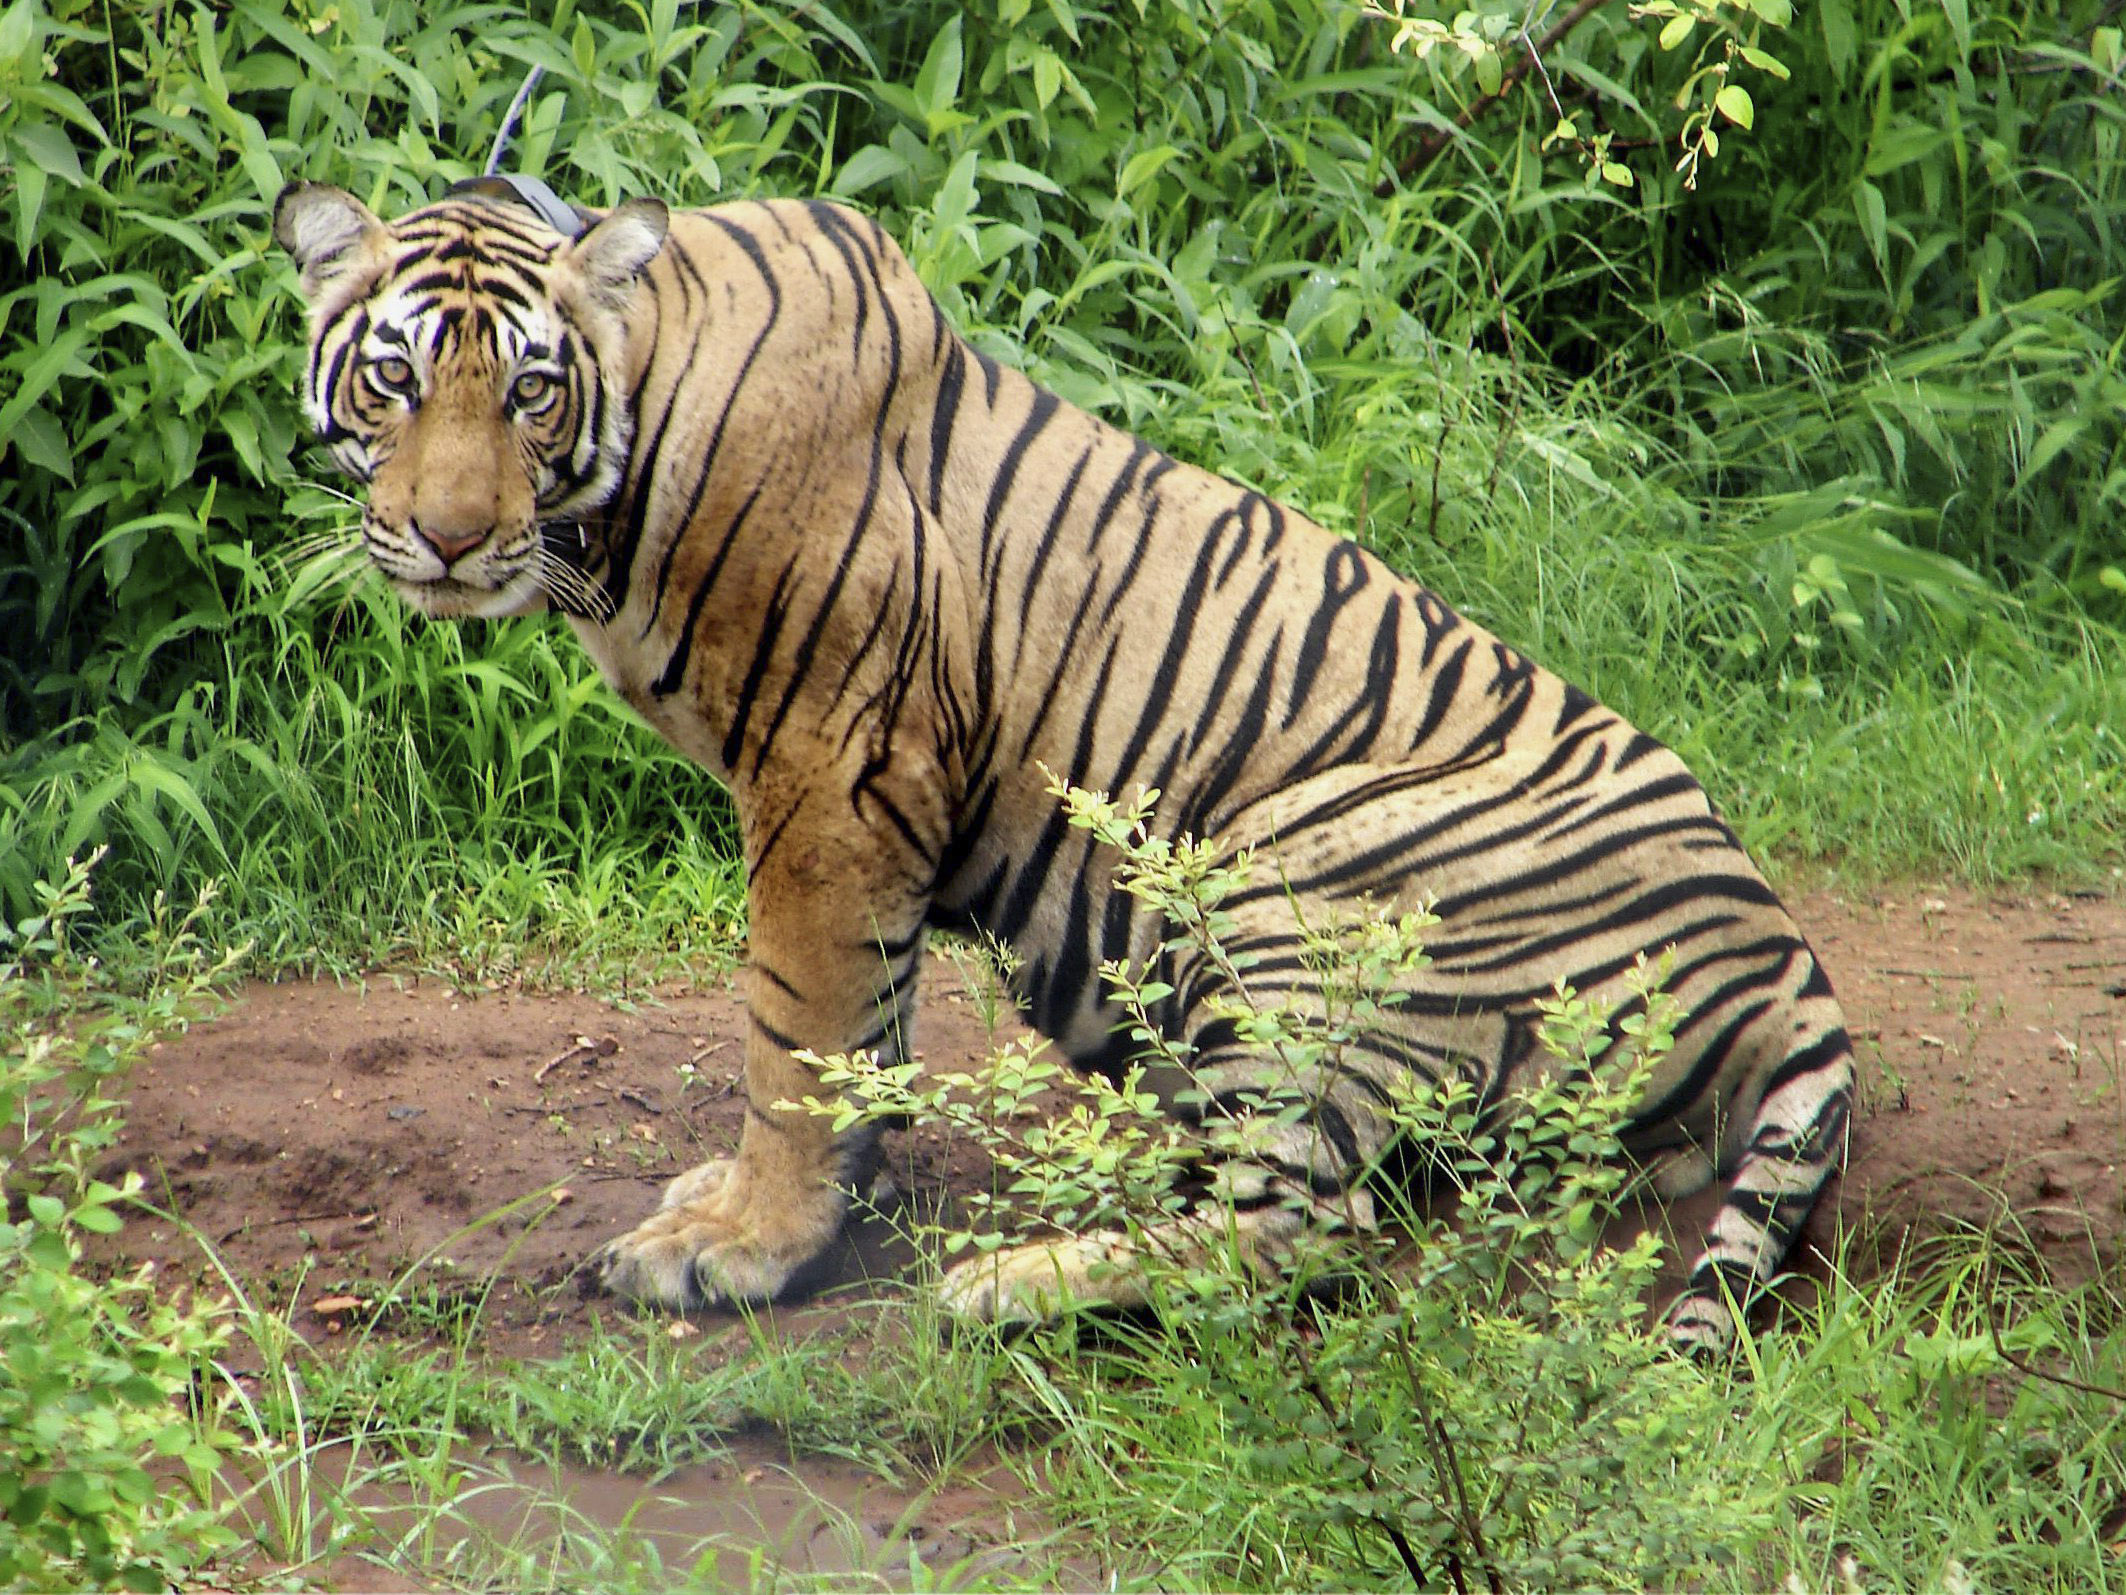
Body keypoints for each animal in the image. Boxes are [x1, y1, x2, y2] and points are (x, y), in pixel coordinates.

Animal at [273, 174, 1853, 1353]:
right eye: (395, 379)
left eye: (529, 394)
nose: (455, 538)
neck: (615, 491)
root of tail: (1784, 952)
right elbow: (862, 1023)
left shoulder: (831, 767)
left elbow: (794, 1025)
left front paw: (746, 1245)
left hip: (1292, 876)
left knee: (1312, 1229)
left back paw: (1010, 1283)